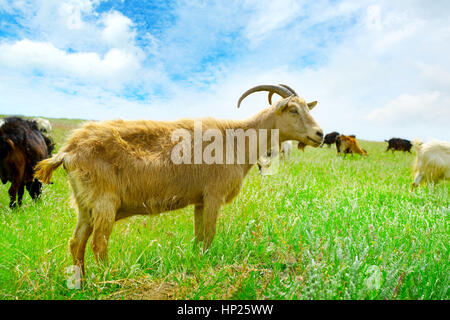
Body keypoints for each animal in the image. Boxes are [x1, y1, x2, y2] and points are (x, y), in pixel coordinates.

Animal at [35, 84, 324, 272]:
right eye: (293, 110)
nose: (320, 134)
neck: (236, 140)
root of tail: (68, 150)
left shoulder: (200, 200)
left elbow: (199, 237)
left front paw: (196, 262)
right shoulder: (214, 195)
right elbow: (209, 235)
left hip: (84, 205)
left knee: (77, 243)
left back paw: (81, 283)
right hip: (104, 202)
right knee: (98, 244)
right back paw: (108, 280)